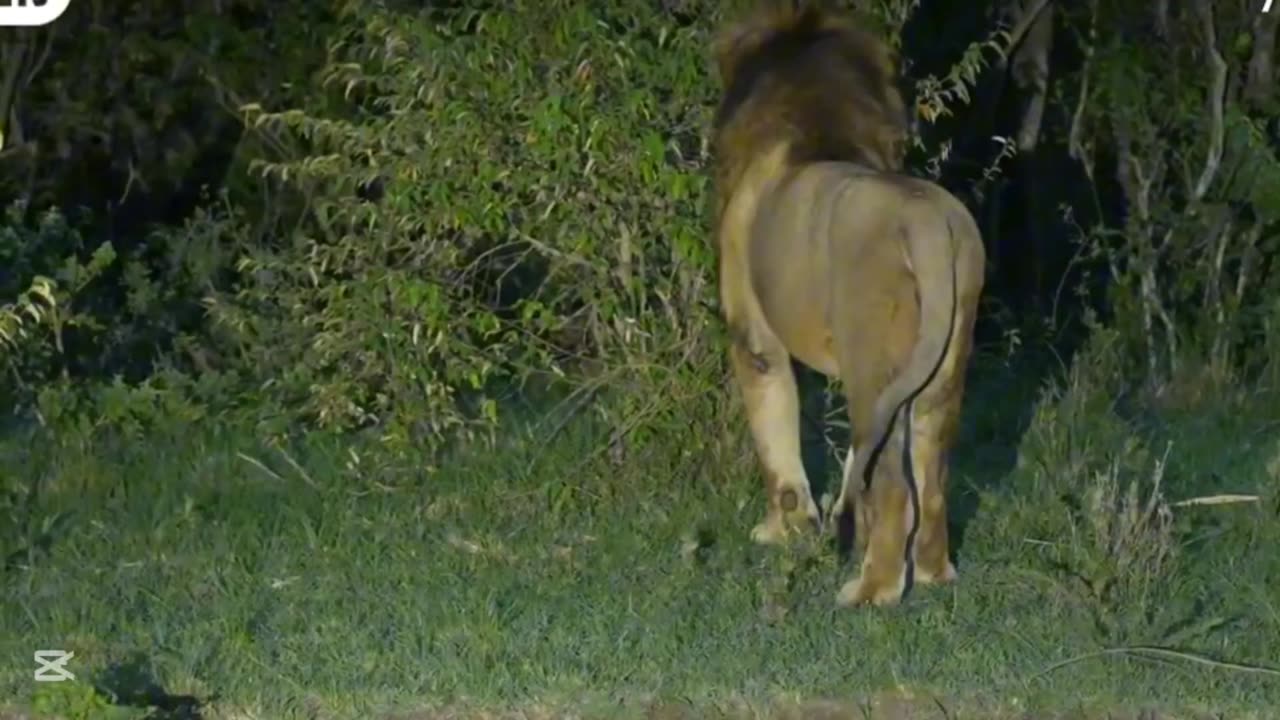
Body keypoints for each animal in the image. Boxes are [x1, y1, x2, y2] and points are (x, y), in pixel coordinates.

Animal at [706, 1, 983, 604]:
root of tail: (926, 223)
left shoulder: (754, 335)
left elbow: (775, 432)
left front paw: (782, 530)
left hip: (875, 367)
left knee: (896, 486)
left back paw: (870, 592)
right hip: (940, 374)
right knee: (932, 477)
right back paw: (933, 574)